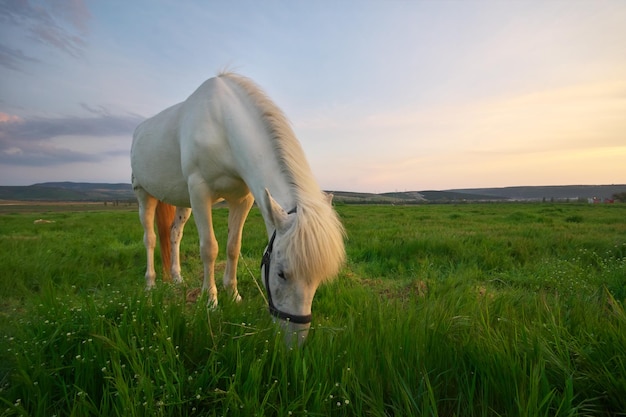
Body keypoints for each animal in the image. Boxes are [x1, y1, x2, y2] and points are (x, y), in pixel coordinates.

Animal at [131, 72, 344, 342]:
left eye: (318, 279)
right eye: (281, 273)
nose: (295, 341)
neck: (222, 125)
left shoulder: (242, 199)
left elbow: (233, 247)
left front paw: (233, 295)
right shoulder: (199, 191)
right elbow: (209, 248)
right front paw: (210, 300)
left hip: (182, 202)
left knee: (174, 234)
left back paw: (177, 277)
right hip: (144, 194)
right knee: (149, 238)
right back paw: (150, 284)